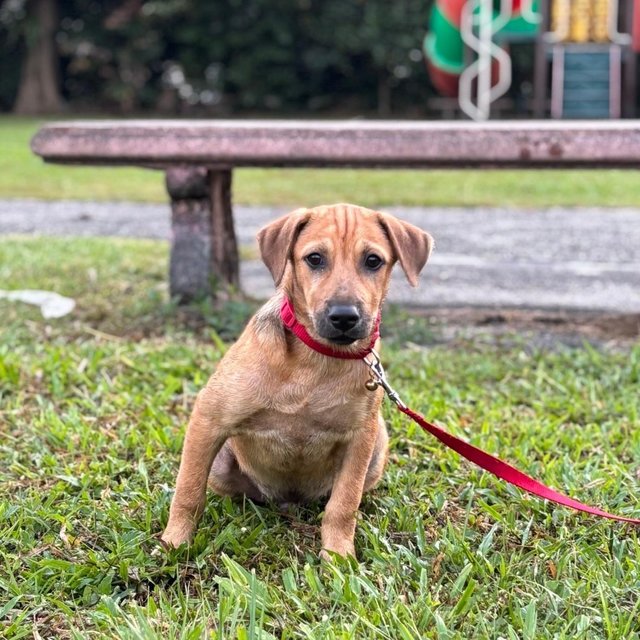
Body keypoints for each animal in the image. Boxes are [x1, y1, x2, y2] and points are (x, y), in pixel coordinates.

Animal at [160, 202, 432, 556]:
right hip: (221, 464)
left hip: (377, 446)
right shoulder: (209, 417)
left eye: (373, 261)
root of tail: (289, 501)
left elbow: (343, 504)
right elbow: (189, 490)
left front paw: (338, 555)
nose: (344, 317)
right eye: (314, 258)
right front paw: (175, 542)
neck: (316, 358)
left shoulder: (360, 438)